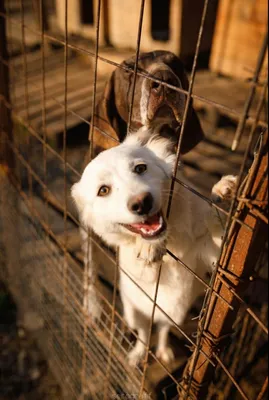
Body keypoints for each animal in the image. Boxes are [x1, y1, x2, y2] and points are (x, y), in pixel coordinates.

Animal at [71, 130, 237, 368]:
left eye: (140, 168)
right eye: (103, 190)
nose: (141, 203)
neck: (174, 237)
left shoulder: (210, 252)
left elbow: (216, 221)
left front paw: (223, 192)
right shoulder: (140, 270)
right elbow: (146, 258)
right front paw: (150, 246)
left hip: (174, 315)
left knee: (164, 330)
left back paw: (163, 350)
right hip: (135, 313)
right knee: (144, 334)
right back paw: (137, 355)